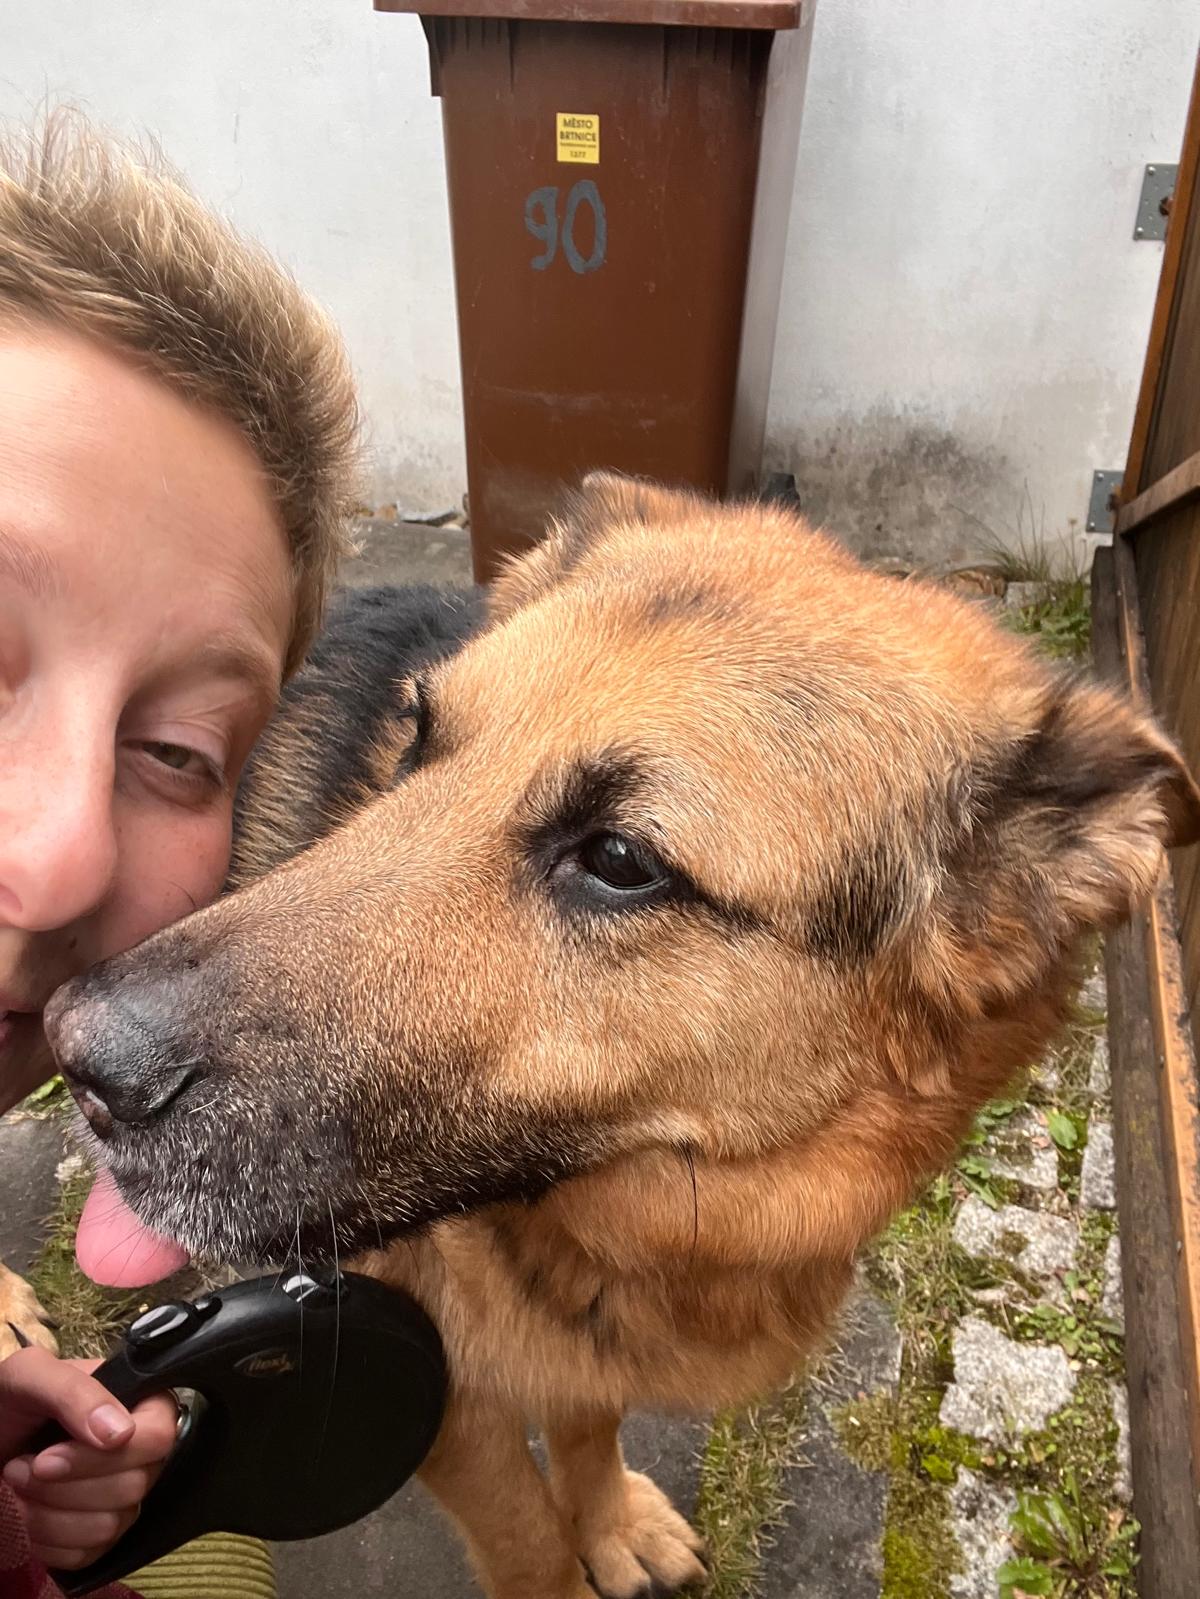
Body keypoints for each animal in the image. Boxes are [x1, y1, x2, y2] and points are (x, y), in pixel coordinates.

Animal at [46, 475, 1199, 1599]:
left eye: (619, 859)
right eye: (420, 739)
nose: (83, 1060)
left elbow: (587, 1424)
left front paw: (608, 1522)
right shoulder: (441, 1402)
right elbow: (529, 1547)